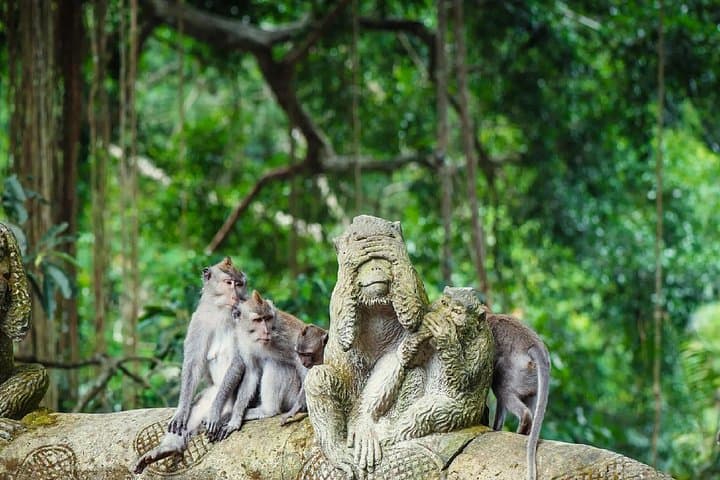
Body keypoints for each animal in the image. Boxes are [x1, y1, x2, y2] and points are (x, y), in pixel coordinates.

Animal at [132, 256, 247, 474]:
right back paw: (168, 448)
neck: (221, 311)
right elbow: (193, 365)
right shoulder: (198, 320)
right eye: (229, 283)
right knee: (197, 407)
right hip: (211, 392)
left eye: (239, 284)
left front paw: (214, 414)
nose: (237, 295)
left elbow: (239, 361)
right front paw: (180, 411)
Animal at [204, 291, 305, 442]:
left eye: (267, 318)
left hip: (292, 394)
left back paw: (269, 410)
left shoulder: (285, 336)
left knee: (276, 364)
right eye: (258, 320)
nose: (266, 331)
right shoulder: (243, 342)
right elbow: (251, 372)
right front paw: (235, 419)